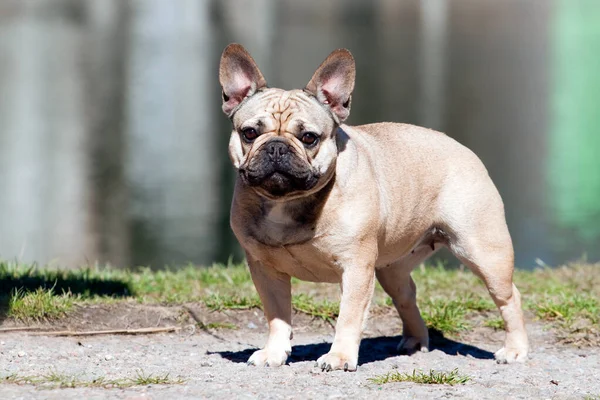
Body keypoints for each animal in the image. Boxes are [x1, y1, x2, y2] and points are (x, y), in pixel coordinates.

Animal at [218, 43, 528, 372]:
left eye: (309, 137)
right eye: (249, 133)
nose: (276, 147)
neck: (287, 200)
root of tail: (463, 148)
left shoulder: (355, 268)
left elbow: (349, 317)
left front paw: (339, 357)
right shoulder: (265, 270)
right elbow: (277, 317)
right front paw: (274, 353)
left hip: (482, 252)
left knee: (509, 298)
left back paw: (515, 350)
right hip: (393, 268)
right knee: (406, 295)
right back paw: (415, 341)